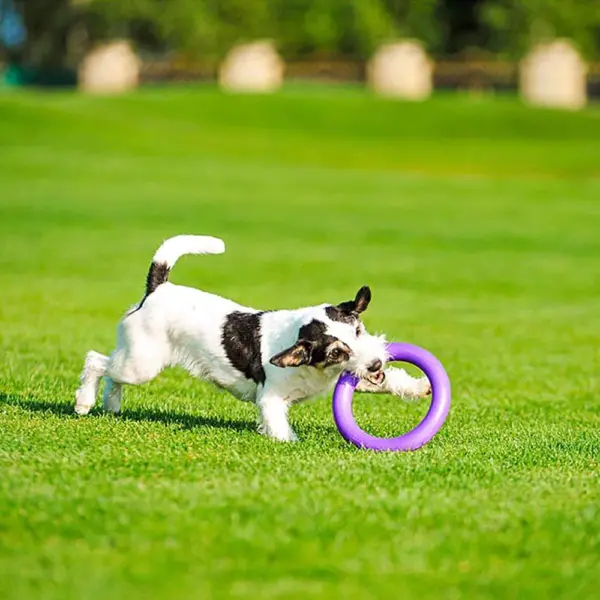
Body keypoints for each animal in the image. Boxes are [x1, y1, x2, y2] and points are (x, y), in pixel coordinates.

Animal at [75, 234, 432, 440]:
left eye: (358, 330)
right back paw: (84, 403)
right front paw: (288, 444)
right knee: (96, 361)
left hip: (135, 361)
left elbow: (389, 383)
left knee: (111, 374)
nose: (374, 363)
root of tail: (157, 288)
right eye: (335, 352)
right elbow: (279, 426)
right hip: (141, 364)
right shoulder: (271, 399)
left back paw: (111, 405)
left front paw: (419, 387)